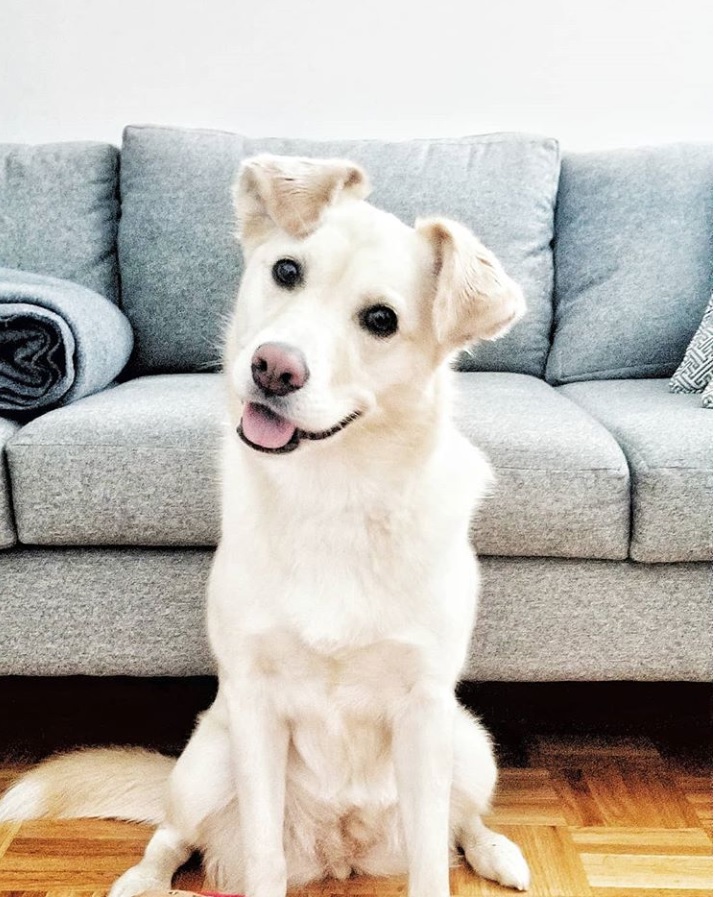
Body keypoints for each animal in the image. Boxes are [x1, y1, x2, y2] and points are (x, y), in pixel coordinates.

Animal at [0, 156, 532, 896]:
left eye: (381, 319)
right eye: (286, 270)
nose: (273, 367)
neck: (331, 494)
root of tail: (343, 849)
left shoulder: (425, 711)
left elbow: (431, 860)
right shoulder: (254, 706)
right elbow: (262, 855)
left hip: (469, 744)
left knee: (461, 822)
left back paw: (496, 850)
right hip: (206, 760)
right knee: (172, 835)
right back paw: (143, 878)